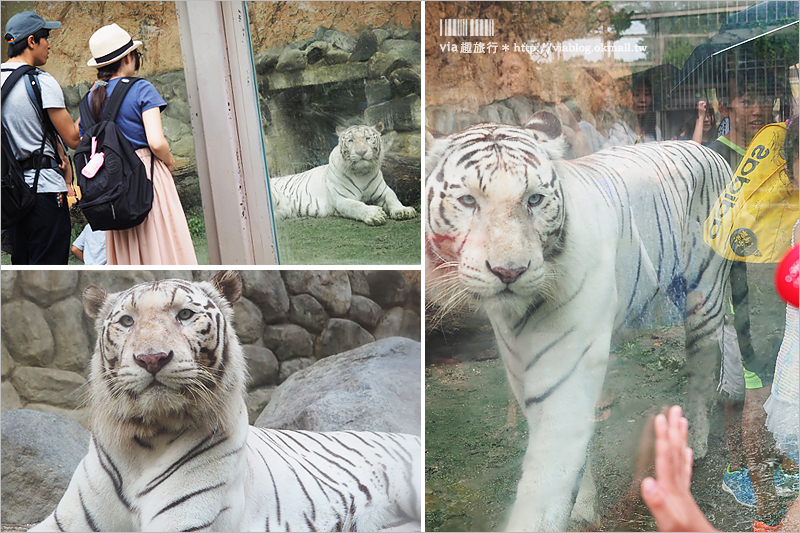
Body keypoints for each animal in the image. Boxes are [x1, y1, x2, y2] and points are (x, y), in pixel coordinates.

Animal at [270, 122, 418, 224]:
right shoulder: (342, 198)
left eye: (367, 138)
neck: (361, 173)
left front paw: (403, 210)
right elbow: (357, 205)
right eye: (351, 140)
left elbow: (392, 197)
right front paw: (374, 214)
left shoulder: (383, 190)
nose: (361, 152)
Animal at [424, 111, 732, 528]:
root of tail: (707, 148)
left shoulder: (565, 368)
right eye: (468, 200)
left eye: (534, 199)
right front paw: (584, 508)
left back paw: (696, 443)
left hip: (705, 296)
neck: (519, 314)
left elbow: (549, 479)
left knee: (702, 367)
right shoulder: (519, 370)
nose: (509, 272)